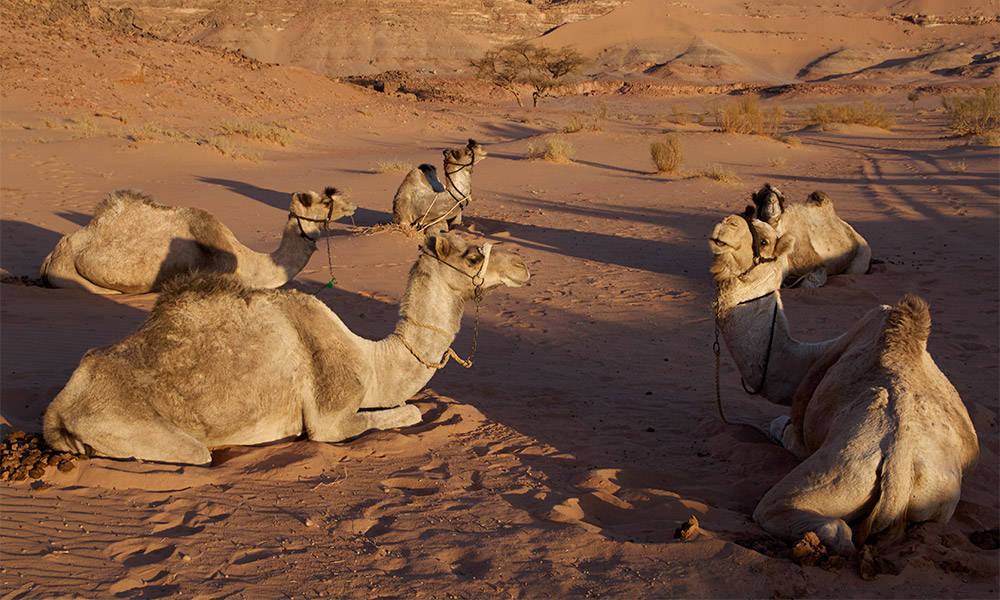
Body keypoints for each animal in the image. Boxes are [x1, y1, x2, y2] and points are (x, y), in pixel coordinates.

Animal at [45, 233, 532, 464]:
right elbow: (407, 413)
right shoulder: (330, 419)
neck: (370, 359)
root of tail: (58, 408)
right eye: (472, 256)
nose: (524, 266)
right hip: (139, 428)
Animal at [712, 213, 976, 556]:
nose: (726, 224)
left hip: (843, 473)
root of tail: (901, 467)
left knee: (818, 522)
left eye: (765, 240)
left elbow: (780, 426)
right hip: (938, 497)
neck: (806, 360)